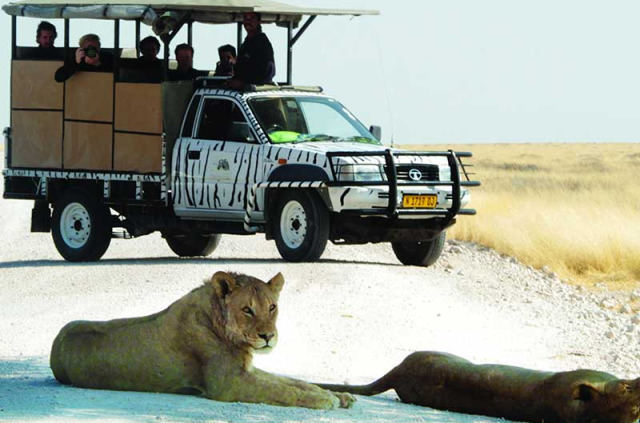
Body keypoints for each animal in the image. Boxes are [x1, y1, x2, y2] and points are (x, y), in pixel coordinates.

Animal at [50, 272, 356, 410]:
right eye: (247, 309)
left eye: (272, 307)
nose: (268, 336)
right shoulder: (228, 384)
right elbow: (282, 391)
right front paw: (325, 399)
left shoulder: (245, 369)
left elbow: (293, 381)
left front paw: (338, 395)